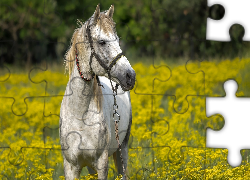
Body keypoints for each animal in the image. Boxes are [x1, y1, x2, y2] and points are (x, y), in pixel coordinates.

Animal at [59, 4, 136, 180]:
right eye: (102, 41)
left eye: (118, 40)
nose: (130, 76)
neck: (80, 114)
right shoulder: (71, 166)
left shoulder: (102, 163)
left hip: (122, 150)